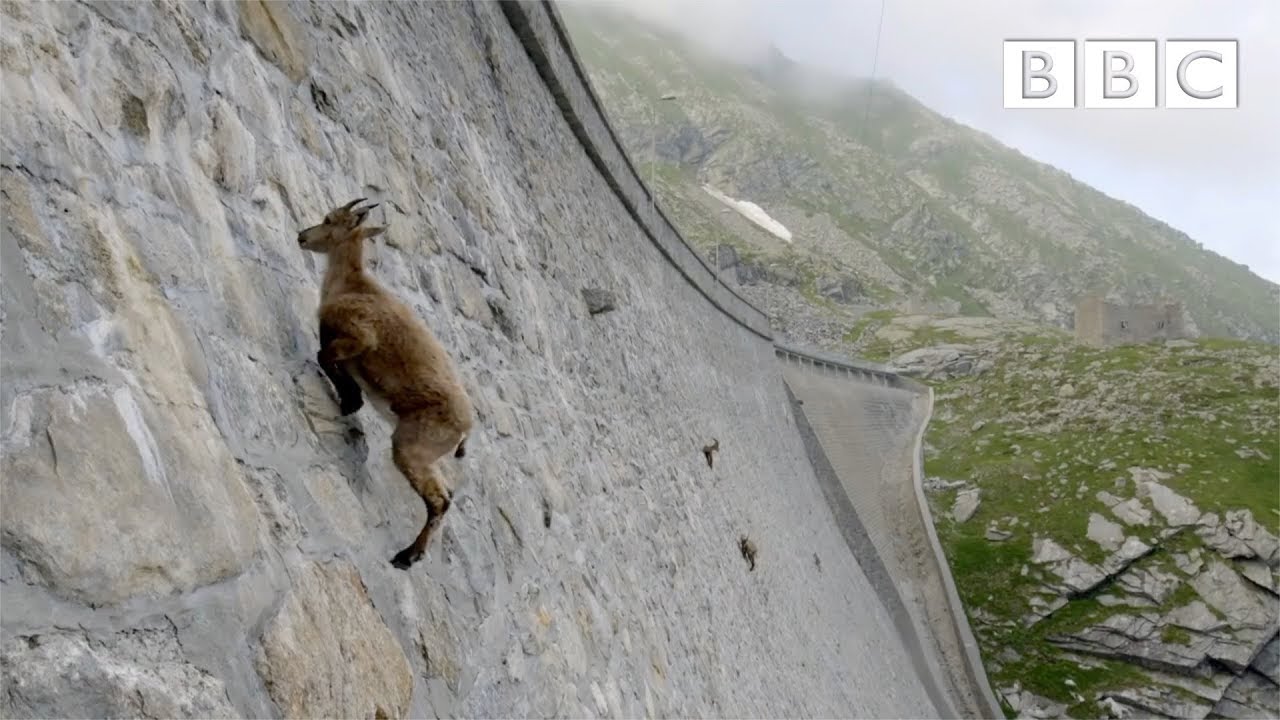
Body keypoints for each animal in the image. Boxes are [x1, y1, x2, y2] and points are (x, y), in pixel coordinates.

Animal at [298, 198, 474, 570]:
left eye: (329, 219)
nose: (302, 236)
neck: (353, 285)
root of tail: (467, 429)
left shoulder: (358, 337)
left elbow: (325, 356)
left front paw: (350, 401)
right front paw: (352, 400)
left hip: (411, 447)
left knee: (439, 500)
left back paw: (407, 556)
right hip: (427, 454)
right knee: (448, 493)